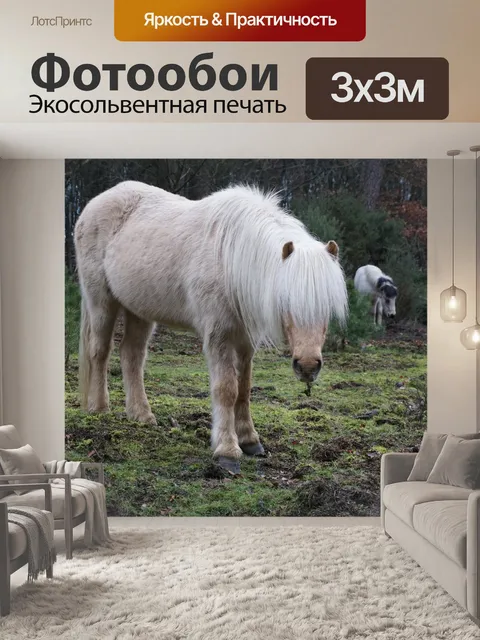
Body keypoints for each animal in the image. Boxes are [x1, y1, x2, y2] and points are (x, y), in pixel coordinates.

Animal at [74, 181, 348, 474]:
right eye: (285, 301)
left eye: (327, 306)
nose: (307, 367)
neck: (231, 259)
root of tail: (94, 205)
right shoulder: (219, 335)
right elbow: (226, 389)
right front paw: (227, 450)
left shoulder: (245, 340)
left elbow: (244, 388)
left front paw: (250, 440)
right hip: (101, 301)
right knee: (100, 351)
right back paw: (99, 408)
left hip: (139, 310)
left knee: (131, 355)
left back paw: (141, 415)